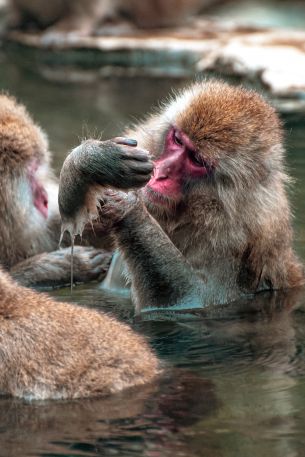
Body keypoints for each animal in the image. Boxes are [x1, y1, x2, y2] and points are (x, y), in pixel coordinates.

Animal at [58, 80, 302, 312]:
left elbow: (193, 299)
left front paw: (128, 207)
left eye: (196, 159)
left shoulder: (237, 240)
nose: (160, 172)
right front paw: (92, 160)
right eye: (177, 140)